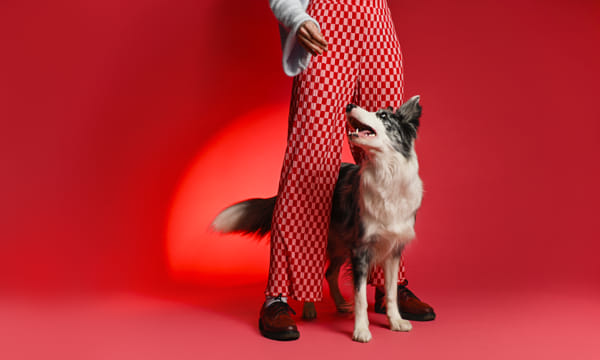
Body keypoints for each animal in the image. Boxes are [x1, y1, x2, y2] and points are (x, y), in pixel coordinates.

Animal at [213, 94, 424, 342]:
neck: (387, 173)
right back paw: (309, 309)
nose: (349, 105)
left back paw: (341, 303)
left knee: (329, 273)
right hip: (317, 237)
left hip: (341, 244)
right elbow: (361, 295)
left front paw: (396, 321)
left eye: (383, 115)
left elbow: (390, 291)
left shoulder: (392, 249)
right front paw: (361, 330)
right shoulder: (361, 248)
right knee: (311, 272)